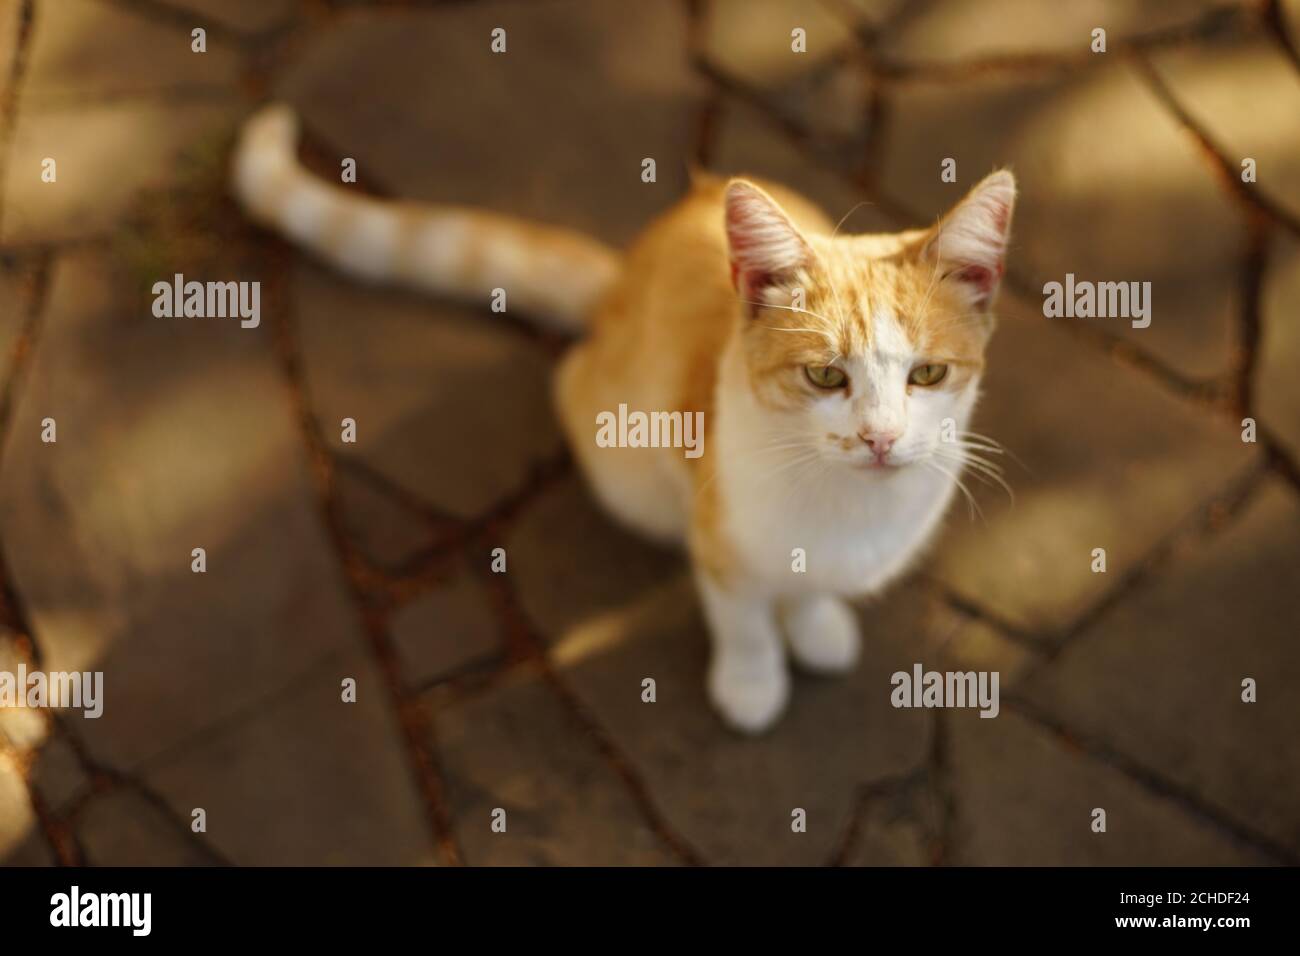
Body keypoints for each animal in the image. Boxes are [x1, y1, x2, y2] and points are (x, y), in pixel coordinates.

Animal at [231, 102, 1013, 733]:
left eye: (928, 374)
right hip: (620, 457)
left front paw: (815, 623)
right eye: (825, 375)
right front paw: (752, 682)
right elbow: (744, 617)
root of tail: (622, 284)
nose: (880, 438)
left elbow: (809, 591)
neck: (852, 508)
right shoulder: (716, 530)